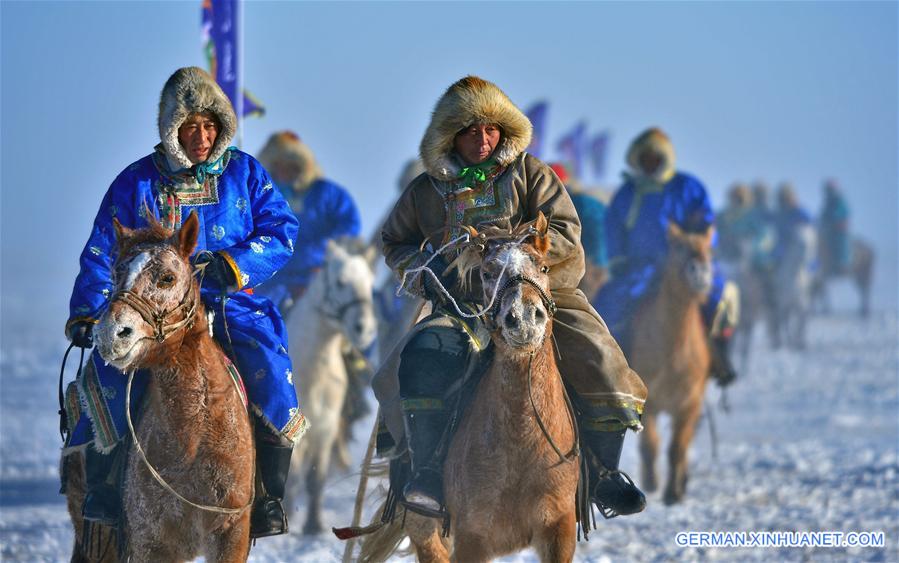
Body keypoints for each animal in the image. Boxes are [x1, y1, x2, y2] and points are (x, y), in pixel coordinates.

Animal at [62, 213, 253, 563]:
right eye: (116, 271)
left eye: (167, 277)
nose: (110, 333)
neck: (194, 441)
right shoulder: (148, 543)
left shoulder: (230, 534)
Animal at [284, 236, 376, 536]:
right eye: (340, 281)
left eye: (370, 284)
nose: (363, 329)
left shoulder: (325, 427)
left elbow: (317, 478)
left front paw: (313, 524)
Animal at [356, 212, 576, 563]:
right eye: (487, 273)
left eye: (543, 267)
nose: (524, 319)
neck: (522, 438)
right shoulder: (473, 536)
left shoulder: (559, 528)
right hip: (423, 524)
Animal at [632, 223, 716, 504]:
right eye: (678, 246)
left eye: (709, 248)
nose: (700, 272)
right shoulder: (647, 402)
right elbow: (651, 445)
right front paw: (651, 482)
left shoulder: (689, 404)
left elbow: (677, 448)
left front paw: (673, 493)